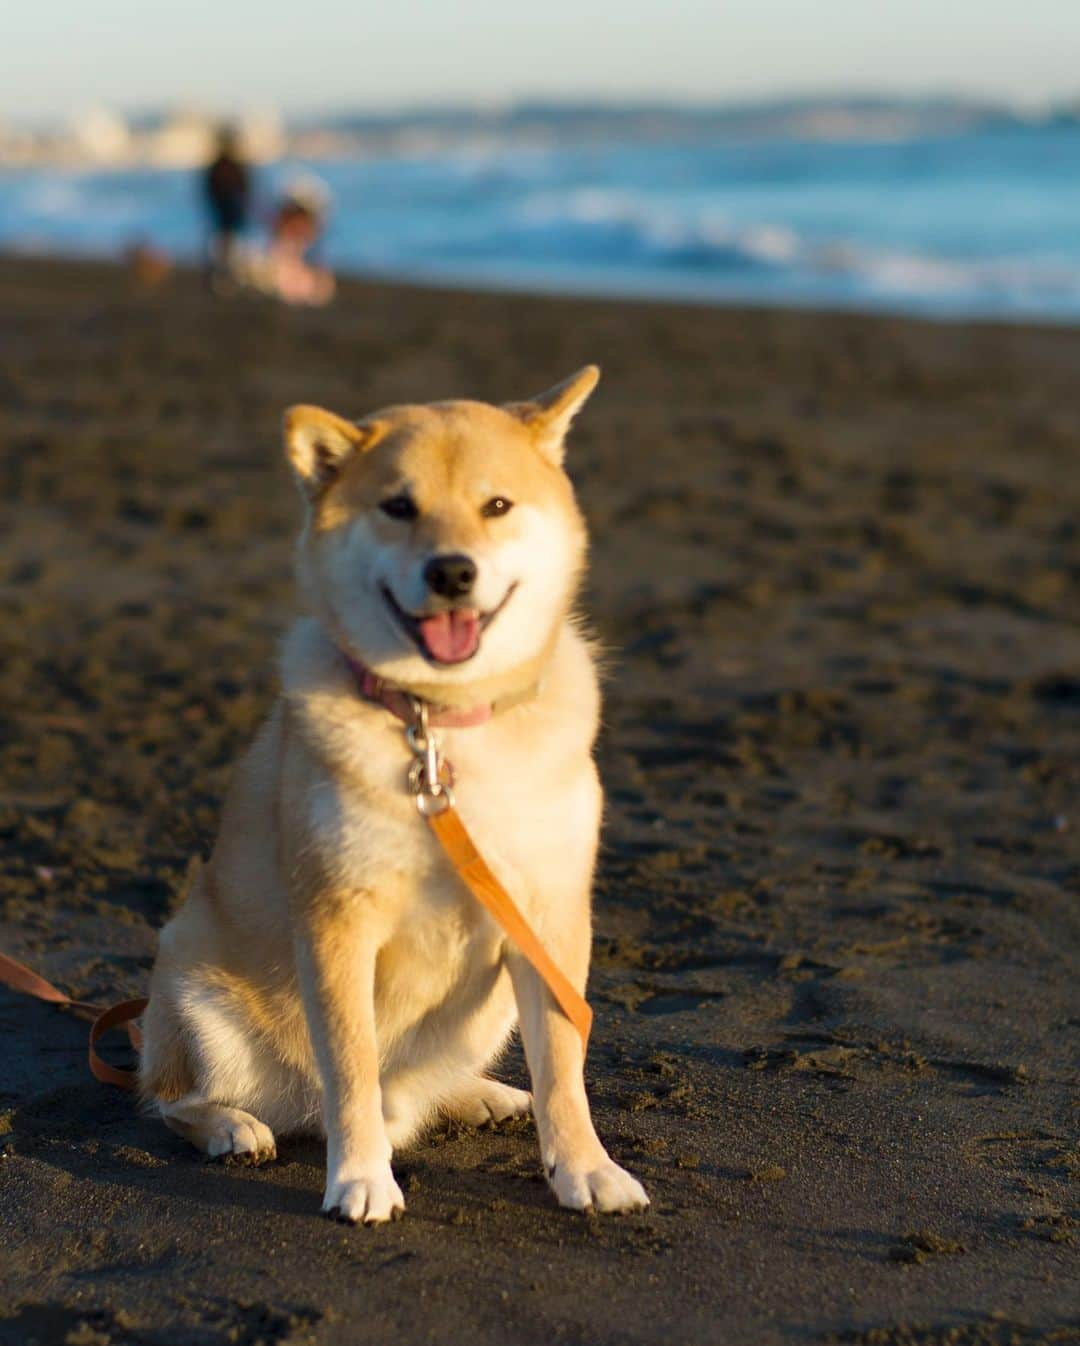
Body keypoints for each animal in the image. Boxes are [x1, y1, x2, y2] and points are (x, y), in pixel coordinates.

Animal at [142, 366, 649, 1222]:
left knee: (421, 1089)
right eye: (398, 507)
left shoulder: (547, 915)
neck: (442, 726)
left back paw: (478, 1095)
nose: (451, 571)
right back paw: (232, 1126)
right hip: (196, 986)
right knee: (171, 1098)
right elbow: (351, 1063)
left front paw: (585, 1166)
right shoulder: (338, 919)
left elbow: (563, 1064)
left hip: (489, 1006)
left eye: (496, 505)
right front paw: (360, 1179)